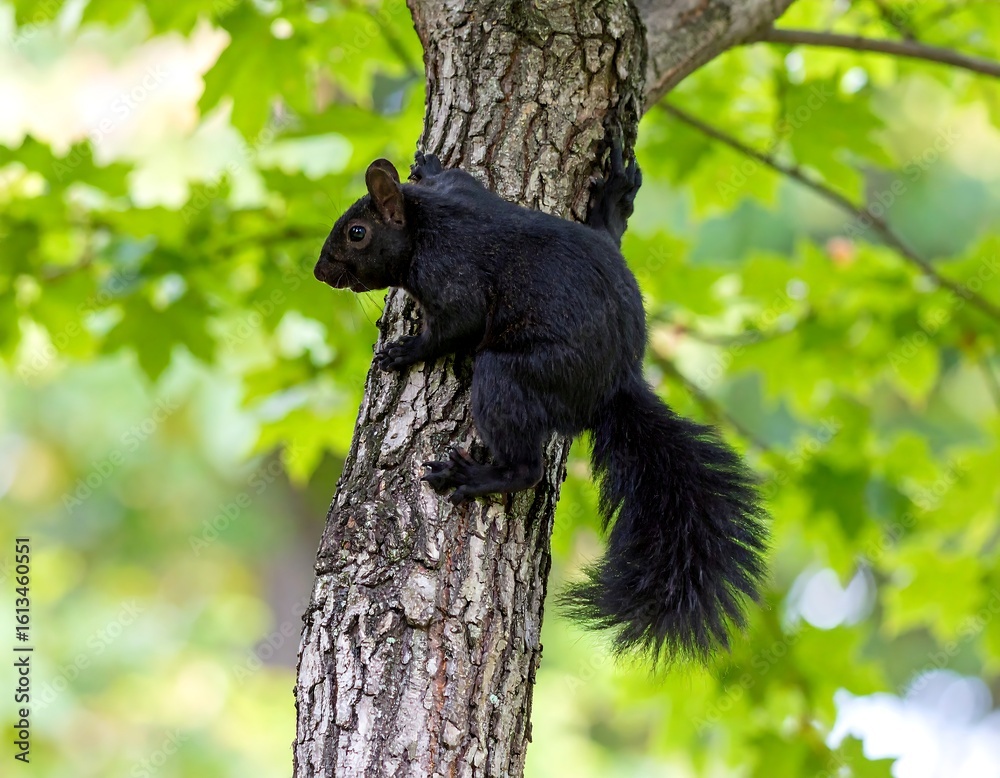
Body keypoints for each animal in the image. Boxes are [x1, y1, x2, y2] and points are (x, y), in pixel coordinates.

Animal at [314, 141, 768, 662]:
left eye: (357, 233)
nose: (320, 272)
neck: (427, 222)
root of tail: (617, 382)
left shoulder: (451, 276)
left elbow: (455, 326)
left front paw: (405, 351)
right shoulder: (459, 193)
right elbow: (461, 178)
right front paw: (429, 166)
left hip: (512, 377)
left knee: (526, 465)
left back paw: (474, 476)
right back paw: (613, 201)